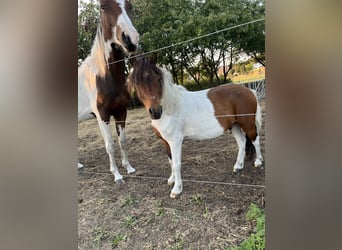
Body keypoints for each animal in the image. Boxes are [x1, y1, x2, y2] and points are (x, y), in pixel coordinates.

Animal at [79, 0, 139, 184]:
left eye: (130, 6)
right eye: (103, 7)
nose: (130, 39)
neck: (105, 76)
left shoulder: (121, 112)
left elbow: (122, 141)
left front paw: (129, 168)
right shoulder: (103, 116)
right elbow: (110, 145)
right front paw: (117, 175)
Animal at [127, 56, 264, 197]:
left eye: (158, 79)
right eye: (137, 83)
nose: (155, 112)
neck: (170, 107)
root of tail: (249, 90)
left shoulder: (175, 141)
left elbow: (176, 163)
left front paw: (176, 189)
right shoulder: (165, 141)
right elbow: (170, 161)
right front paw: (171, 179)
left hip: (247, 124)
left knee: (255, 140)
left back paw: (258, 161)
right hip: (234, 125)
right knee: (242, 142)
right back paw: (238, 166)